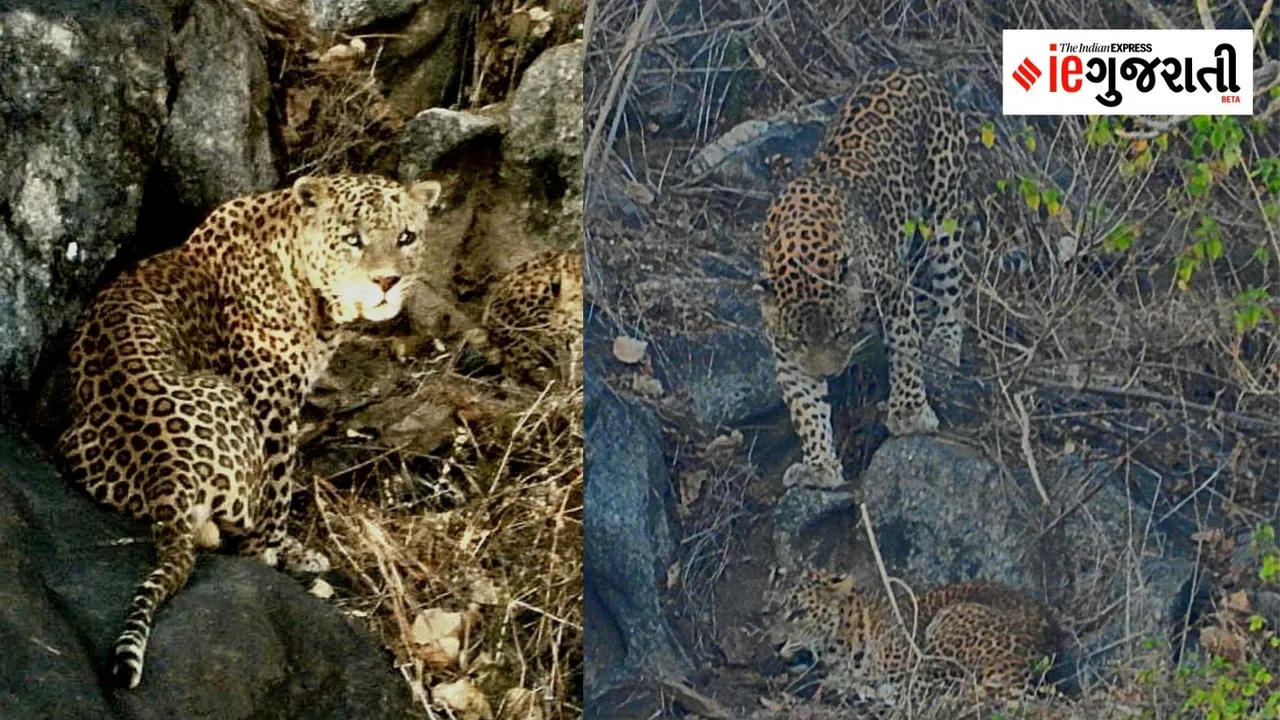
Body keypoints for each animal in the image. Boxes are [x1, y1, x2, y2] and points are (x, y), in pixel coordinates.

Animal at [56, 173, 443, 689]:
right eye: (352, 239)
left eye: (406, 237)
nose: (386, 281)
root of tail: (168, 475)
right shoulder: (271, 402)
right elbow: (275, 498)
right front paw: (280, 554)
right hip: (227, 397)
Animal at [760, 66, 970, 489]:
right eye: (799, 339)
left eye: (842, 332)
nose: (831, 373)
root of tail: (912, 69)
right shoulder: (784, 348)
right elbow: (804, 403)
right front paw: (819, 465)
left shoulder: (891, 287)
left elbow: (905, 345)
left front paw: (909, 413)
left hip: (944, 207)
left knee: (951, 286)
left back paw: (944, 342)